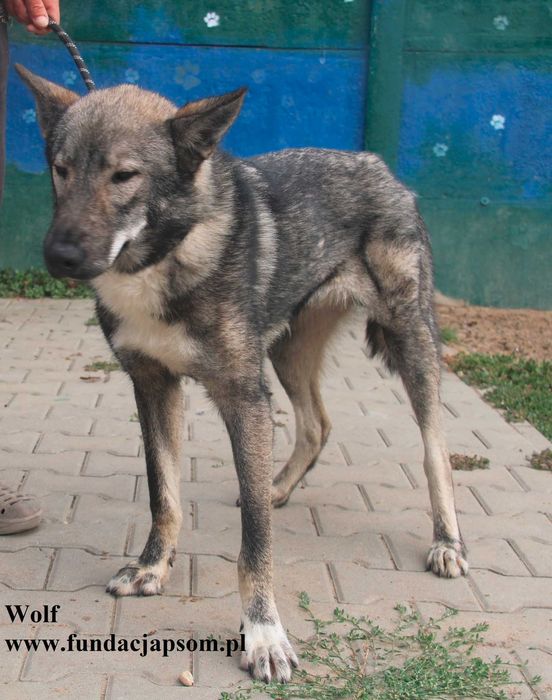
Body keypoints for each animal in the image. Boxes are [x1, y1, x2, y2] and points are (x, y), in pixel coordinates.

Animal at [17, 64, 468, 683]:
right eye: (60, 170)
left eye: (124, 175)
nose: (58, 256)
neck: (165, 257)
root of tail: (379, 166)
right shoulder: (153, 386)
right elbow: (164, 494)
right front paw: (152, 568)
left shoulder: (243, 397)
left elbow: (255, 543)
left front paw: (263, 634)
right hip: (285, 354)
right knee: (318, 424)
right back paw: (277, 486)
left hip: (410, 343)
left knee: (433, 448)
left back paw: (447, 540)